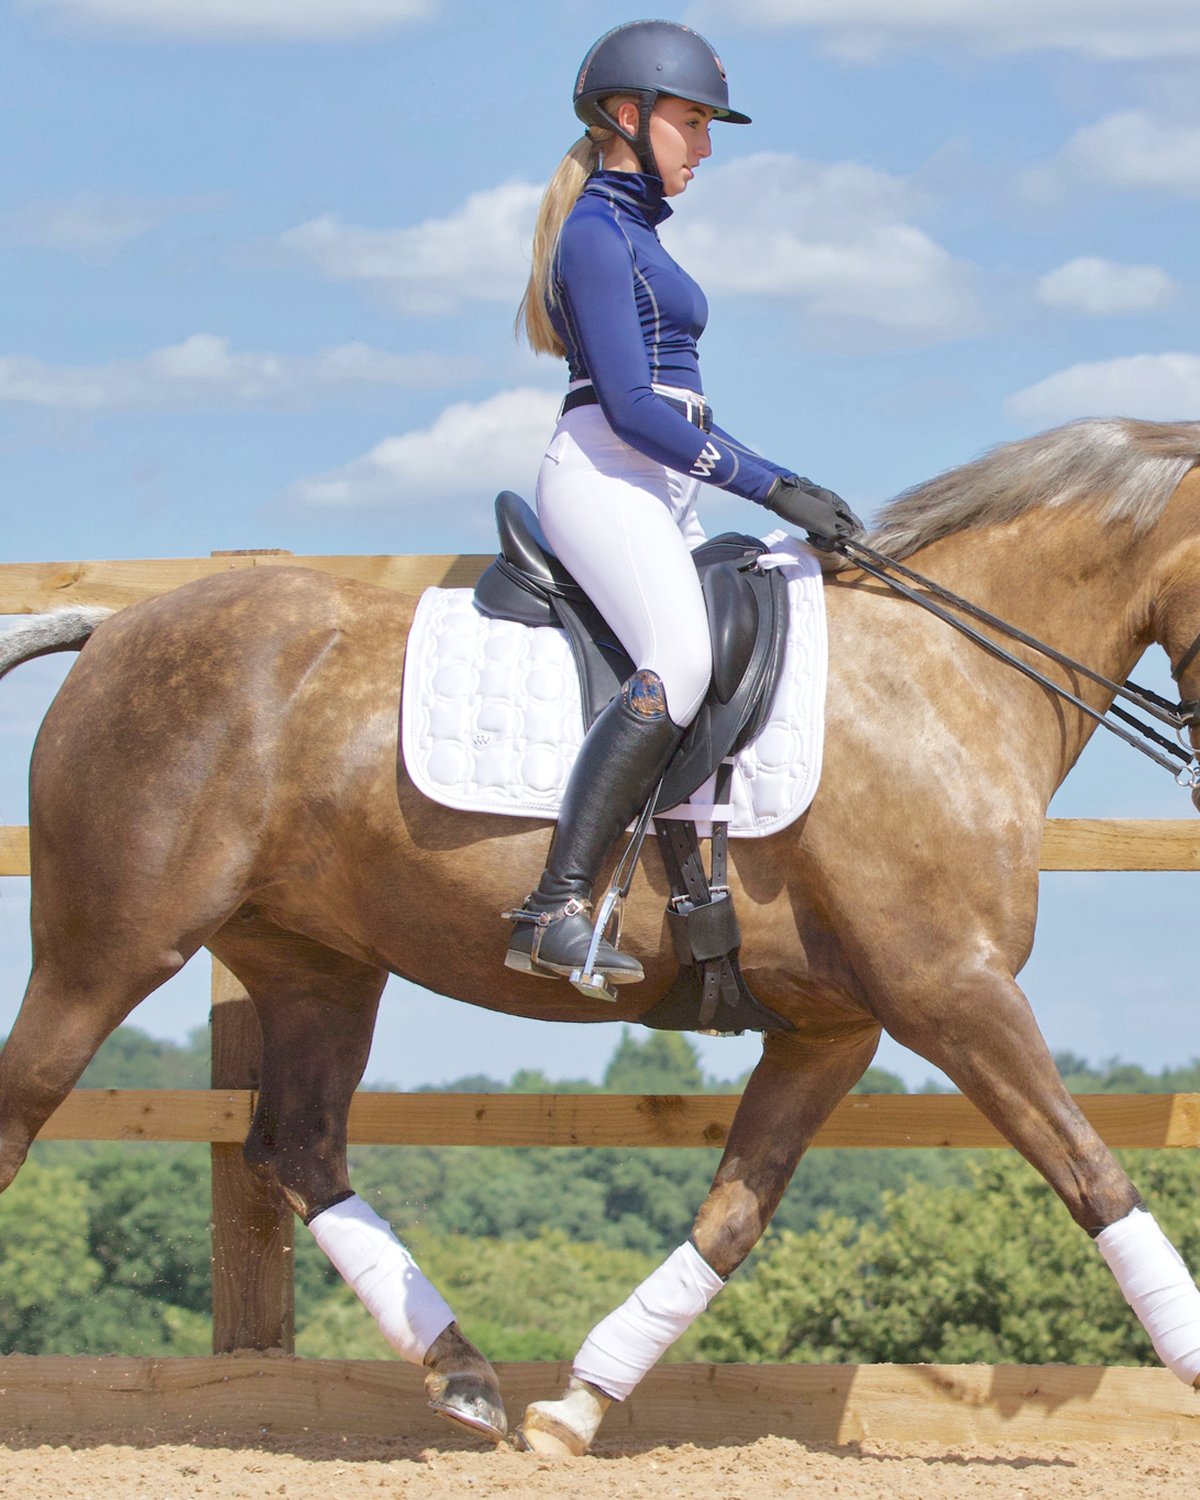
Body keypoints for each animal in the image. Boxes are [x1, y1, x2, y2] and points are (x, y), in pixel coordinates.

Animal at [2, 415, 1200, 1455]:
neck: (948, 673)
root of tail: (115, 629)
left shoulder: (833, 1029)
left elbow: (731, 1217)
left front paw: (576, 1407)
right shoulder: (951, 989)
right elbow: (1094, 1173)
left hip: (317, 968)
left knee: (296, 1146)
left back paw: (465, 1376)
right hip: (110, 949)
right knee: (28, 1103)